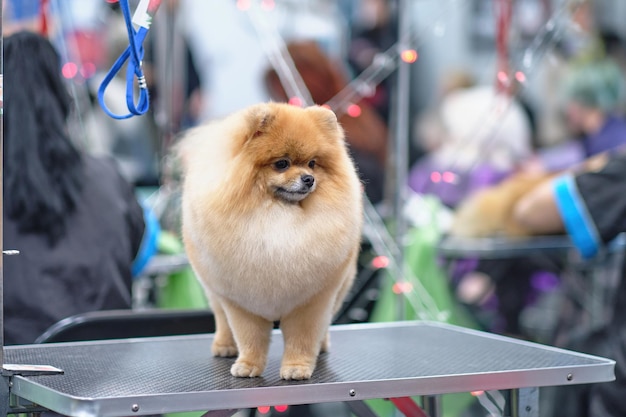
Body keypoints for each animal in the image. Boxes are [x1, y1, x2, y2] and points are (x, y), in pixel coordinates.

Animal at [177, 102, 360, 378]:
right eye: (282, 163)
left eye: (313, 163)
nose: (309, 179)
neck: (277, 217)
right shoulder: (241, 301)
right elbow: (250, 336)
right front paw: (248, 365)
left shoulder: (312, 300)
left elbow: (303, 337)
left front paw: (297, 368)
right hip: (212, 287)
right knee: (221, 318)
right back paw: (224, 346)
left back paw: (322, 345)